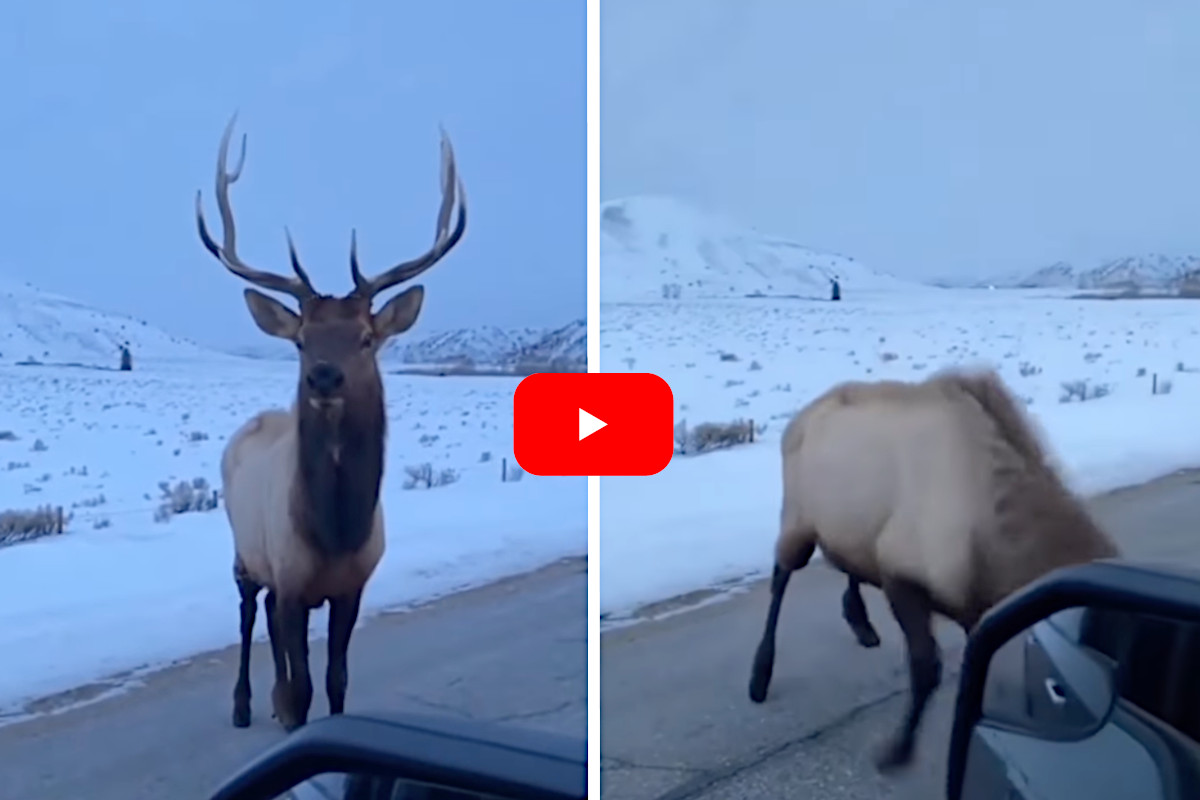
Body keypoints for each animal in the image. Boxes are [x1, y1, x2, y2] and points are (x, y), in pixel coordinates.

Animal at [194, 114, 466, 731]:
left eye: (365, 337)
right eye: (300, 340)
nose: (323, 377)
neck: (335, 532)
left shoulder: (352, 587)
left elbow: (336, 682)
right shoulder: (292, 577)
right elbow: (302, 690)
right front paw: (287, 711)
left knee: (266, 613)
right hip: (244, 549)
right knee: (247, 611)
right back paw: (244, 704)